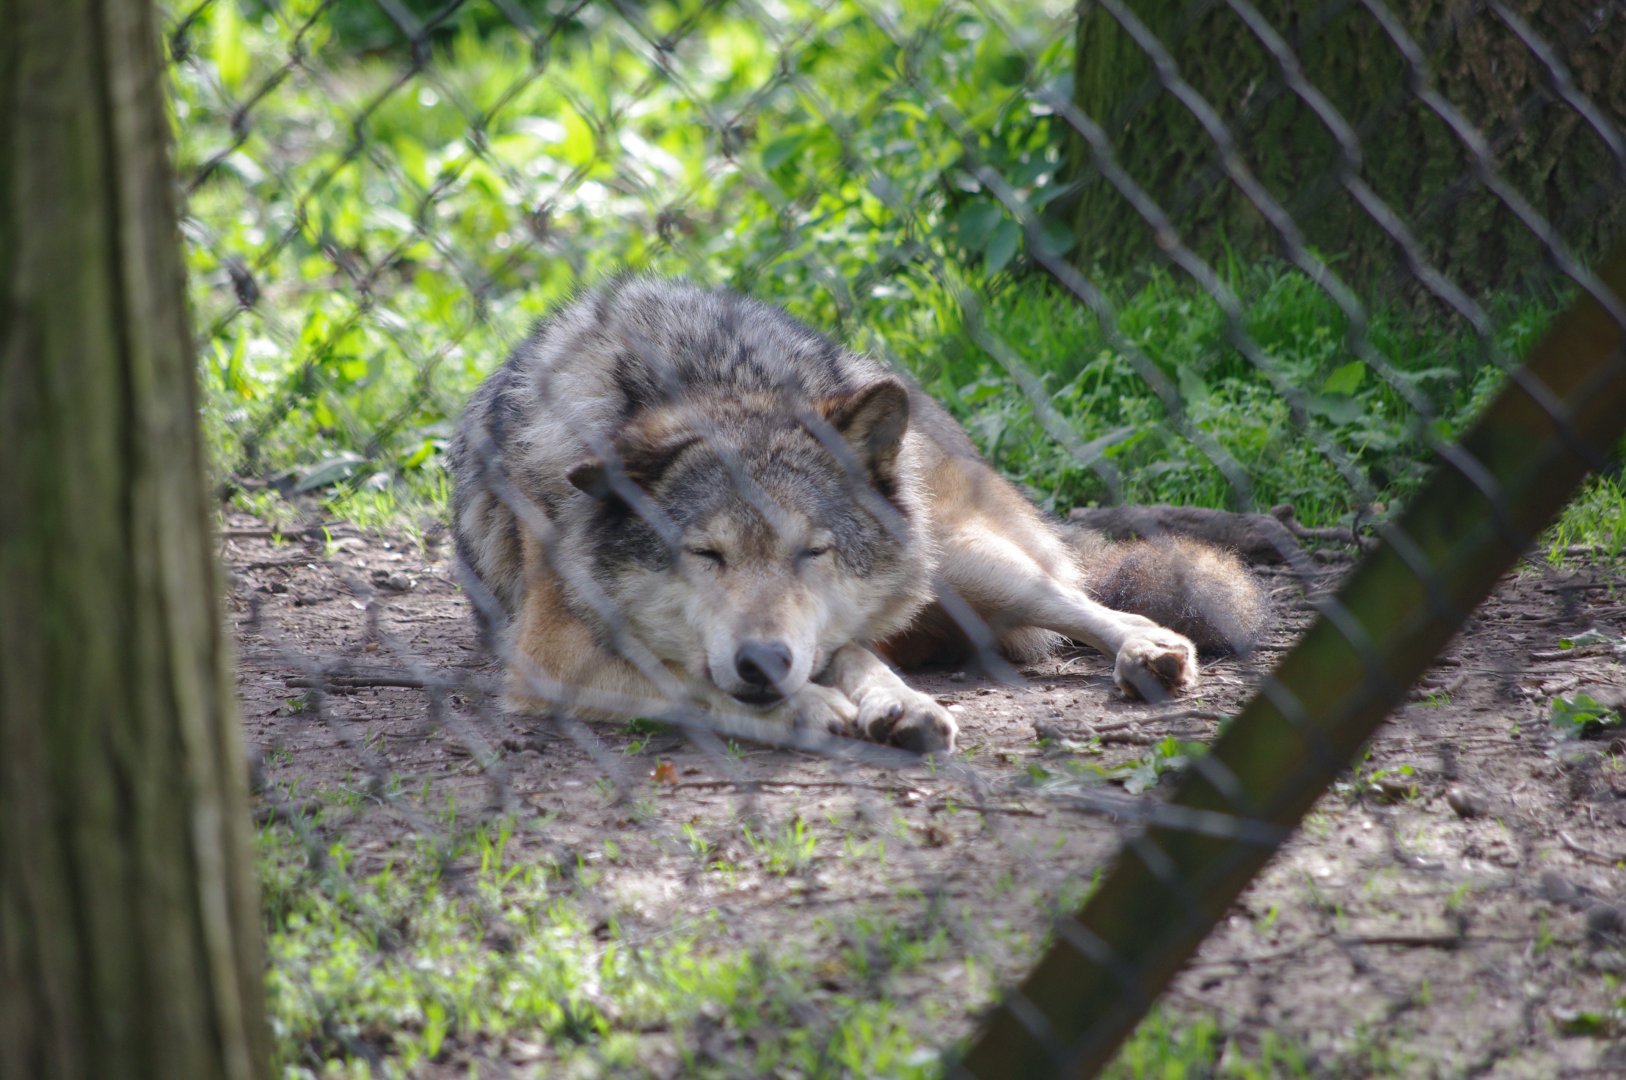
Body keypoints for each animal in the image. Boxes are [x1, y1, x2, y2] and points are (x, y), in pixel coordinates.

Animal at [449, 277, 1265, 753]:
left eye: (814, 552)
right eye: (705, 555)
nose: (764, 661)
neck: (710, 380)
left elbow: (853, 657)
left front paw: (890, 700)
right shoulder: (550, 649)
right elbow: (696, 678)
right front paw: (821, 705)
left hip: (958, 559)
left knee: (1084, 600)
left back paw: (1147, 649)